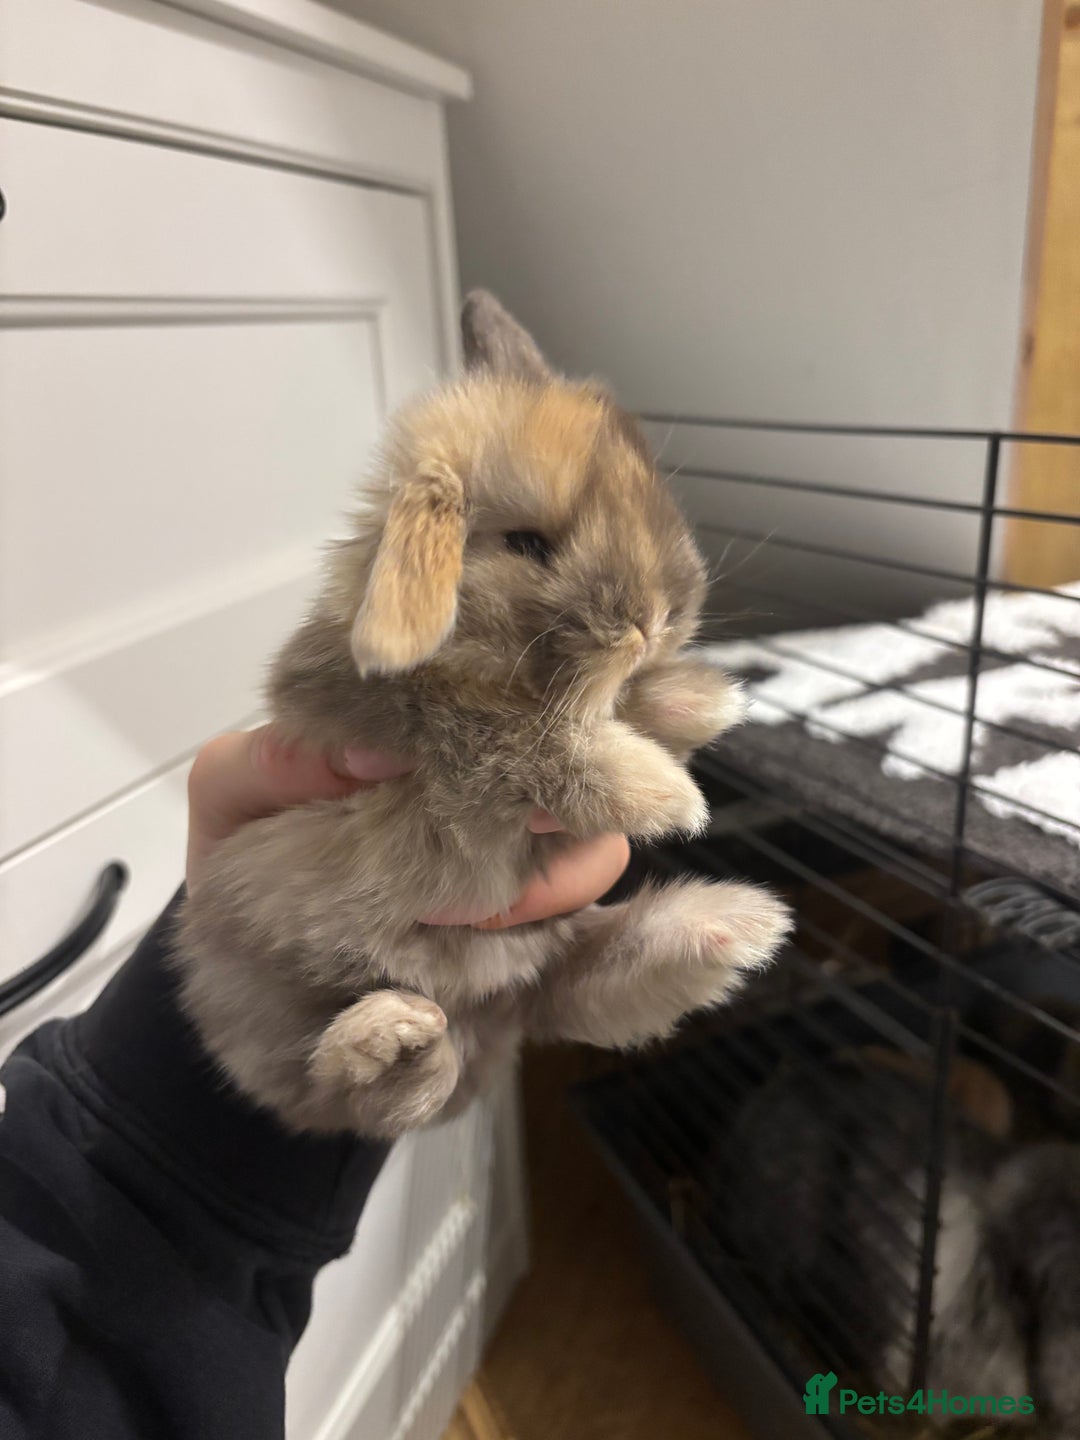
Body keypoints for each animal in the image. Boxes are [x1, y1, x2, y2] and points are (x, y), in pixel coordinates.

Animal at [175, 291, 791, 1140]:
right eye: (528, 543)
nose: (659, 616)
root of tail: (492, 1019)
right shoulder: (421, 733)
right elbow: (513, 739)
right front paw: (663, 793)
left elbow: (622, 705)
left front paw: (704, 700)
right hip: (277, 1009)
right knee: (360, 1091)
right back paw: (393, 1037)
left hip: (552, 951)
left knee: (580, 986)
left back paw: (729, 928)